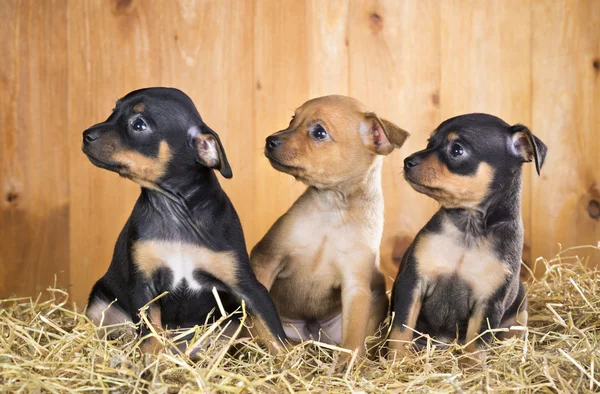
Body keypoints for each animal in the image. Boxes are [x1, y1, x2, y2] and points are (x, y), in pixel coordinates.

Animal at [82, 87, 286, 352]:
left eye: (139, 124)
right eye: (112, 112)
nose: (86, 135)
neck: (175, 211)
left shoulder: (248, 287)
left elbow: (275, 336)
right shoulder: (143, 288)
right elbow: (151, 338)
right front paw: (152, 361)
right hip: (100, 305)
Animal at [251, 96, 410, 360]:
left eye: (319, 132)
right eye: (292, 119)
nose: (269, 140)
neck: (333, 209)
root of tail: (312, 332)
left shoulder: (355, 286)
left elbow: (353, 338)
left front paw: (348, 365)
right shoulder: (266, 259)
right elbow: (261, 321)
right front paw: (278, 353)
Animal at [390, 112, 548, 362]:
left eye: (456, 150)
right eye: (429, 143)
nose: (408, 161)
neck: (469, 229)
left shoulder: (489, 302)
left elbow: (476, 346)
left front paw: (473, 368)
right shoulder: (413, 281)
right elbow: (400, 330)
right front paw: (394, 360)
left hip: (519, 307)